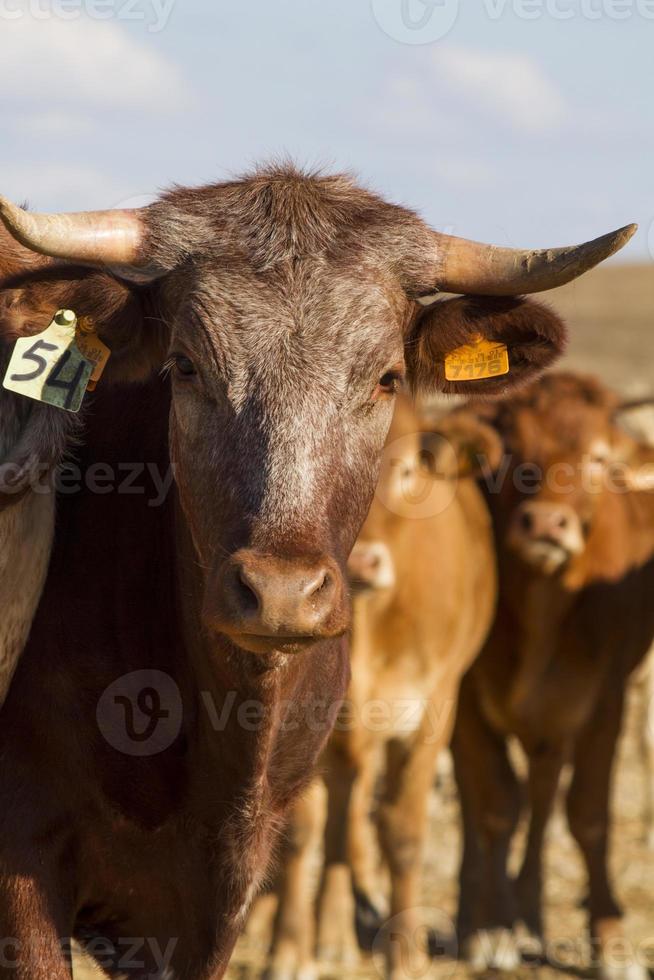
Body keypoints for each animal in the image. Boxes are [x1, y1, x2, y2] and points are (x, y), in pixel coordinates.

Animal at [264, 394, 500, 976]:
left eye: (409, 470)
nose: (364, 562)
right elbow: (302, 832)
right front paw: (287, 949)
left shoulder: (430, 714)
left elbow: (402, 834)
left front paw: (406, 954)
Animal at [454, 372, 654, 976]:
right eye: (513, 454)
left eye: (597, 457)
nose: (545, 523)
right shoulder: (467, 697)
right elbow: (495, 806)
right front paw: (493, 928)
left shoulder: (605, 698)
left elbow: (588, 815)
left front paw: (609, 939)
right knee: (481, 801)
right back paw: (476, 914)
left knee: (543, 794)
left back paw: (534, 907)